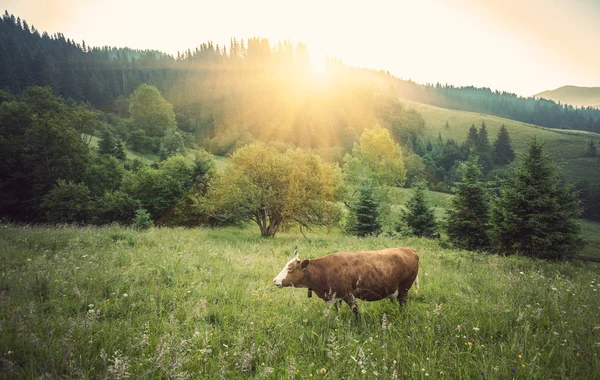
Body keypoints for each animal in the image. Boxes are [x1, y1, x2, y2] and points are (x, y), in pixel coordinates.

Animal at [272, 248, 418, 314]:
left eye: (290, 268)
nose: (274, 280)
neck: (324, 269)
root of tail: (408, 249)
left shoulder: (349, 295)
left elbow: (356, 311)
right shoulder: (336, 297)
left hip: (404, 289)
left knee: (403, 303)